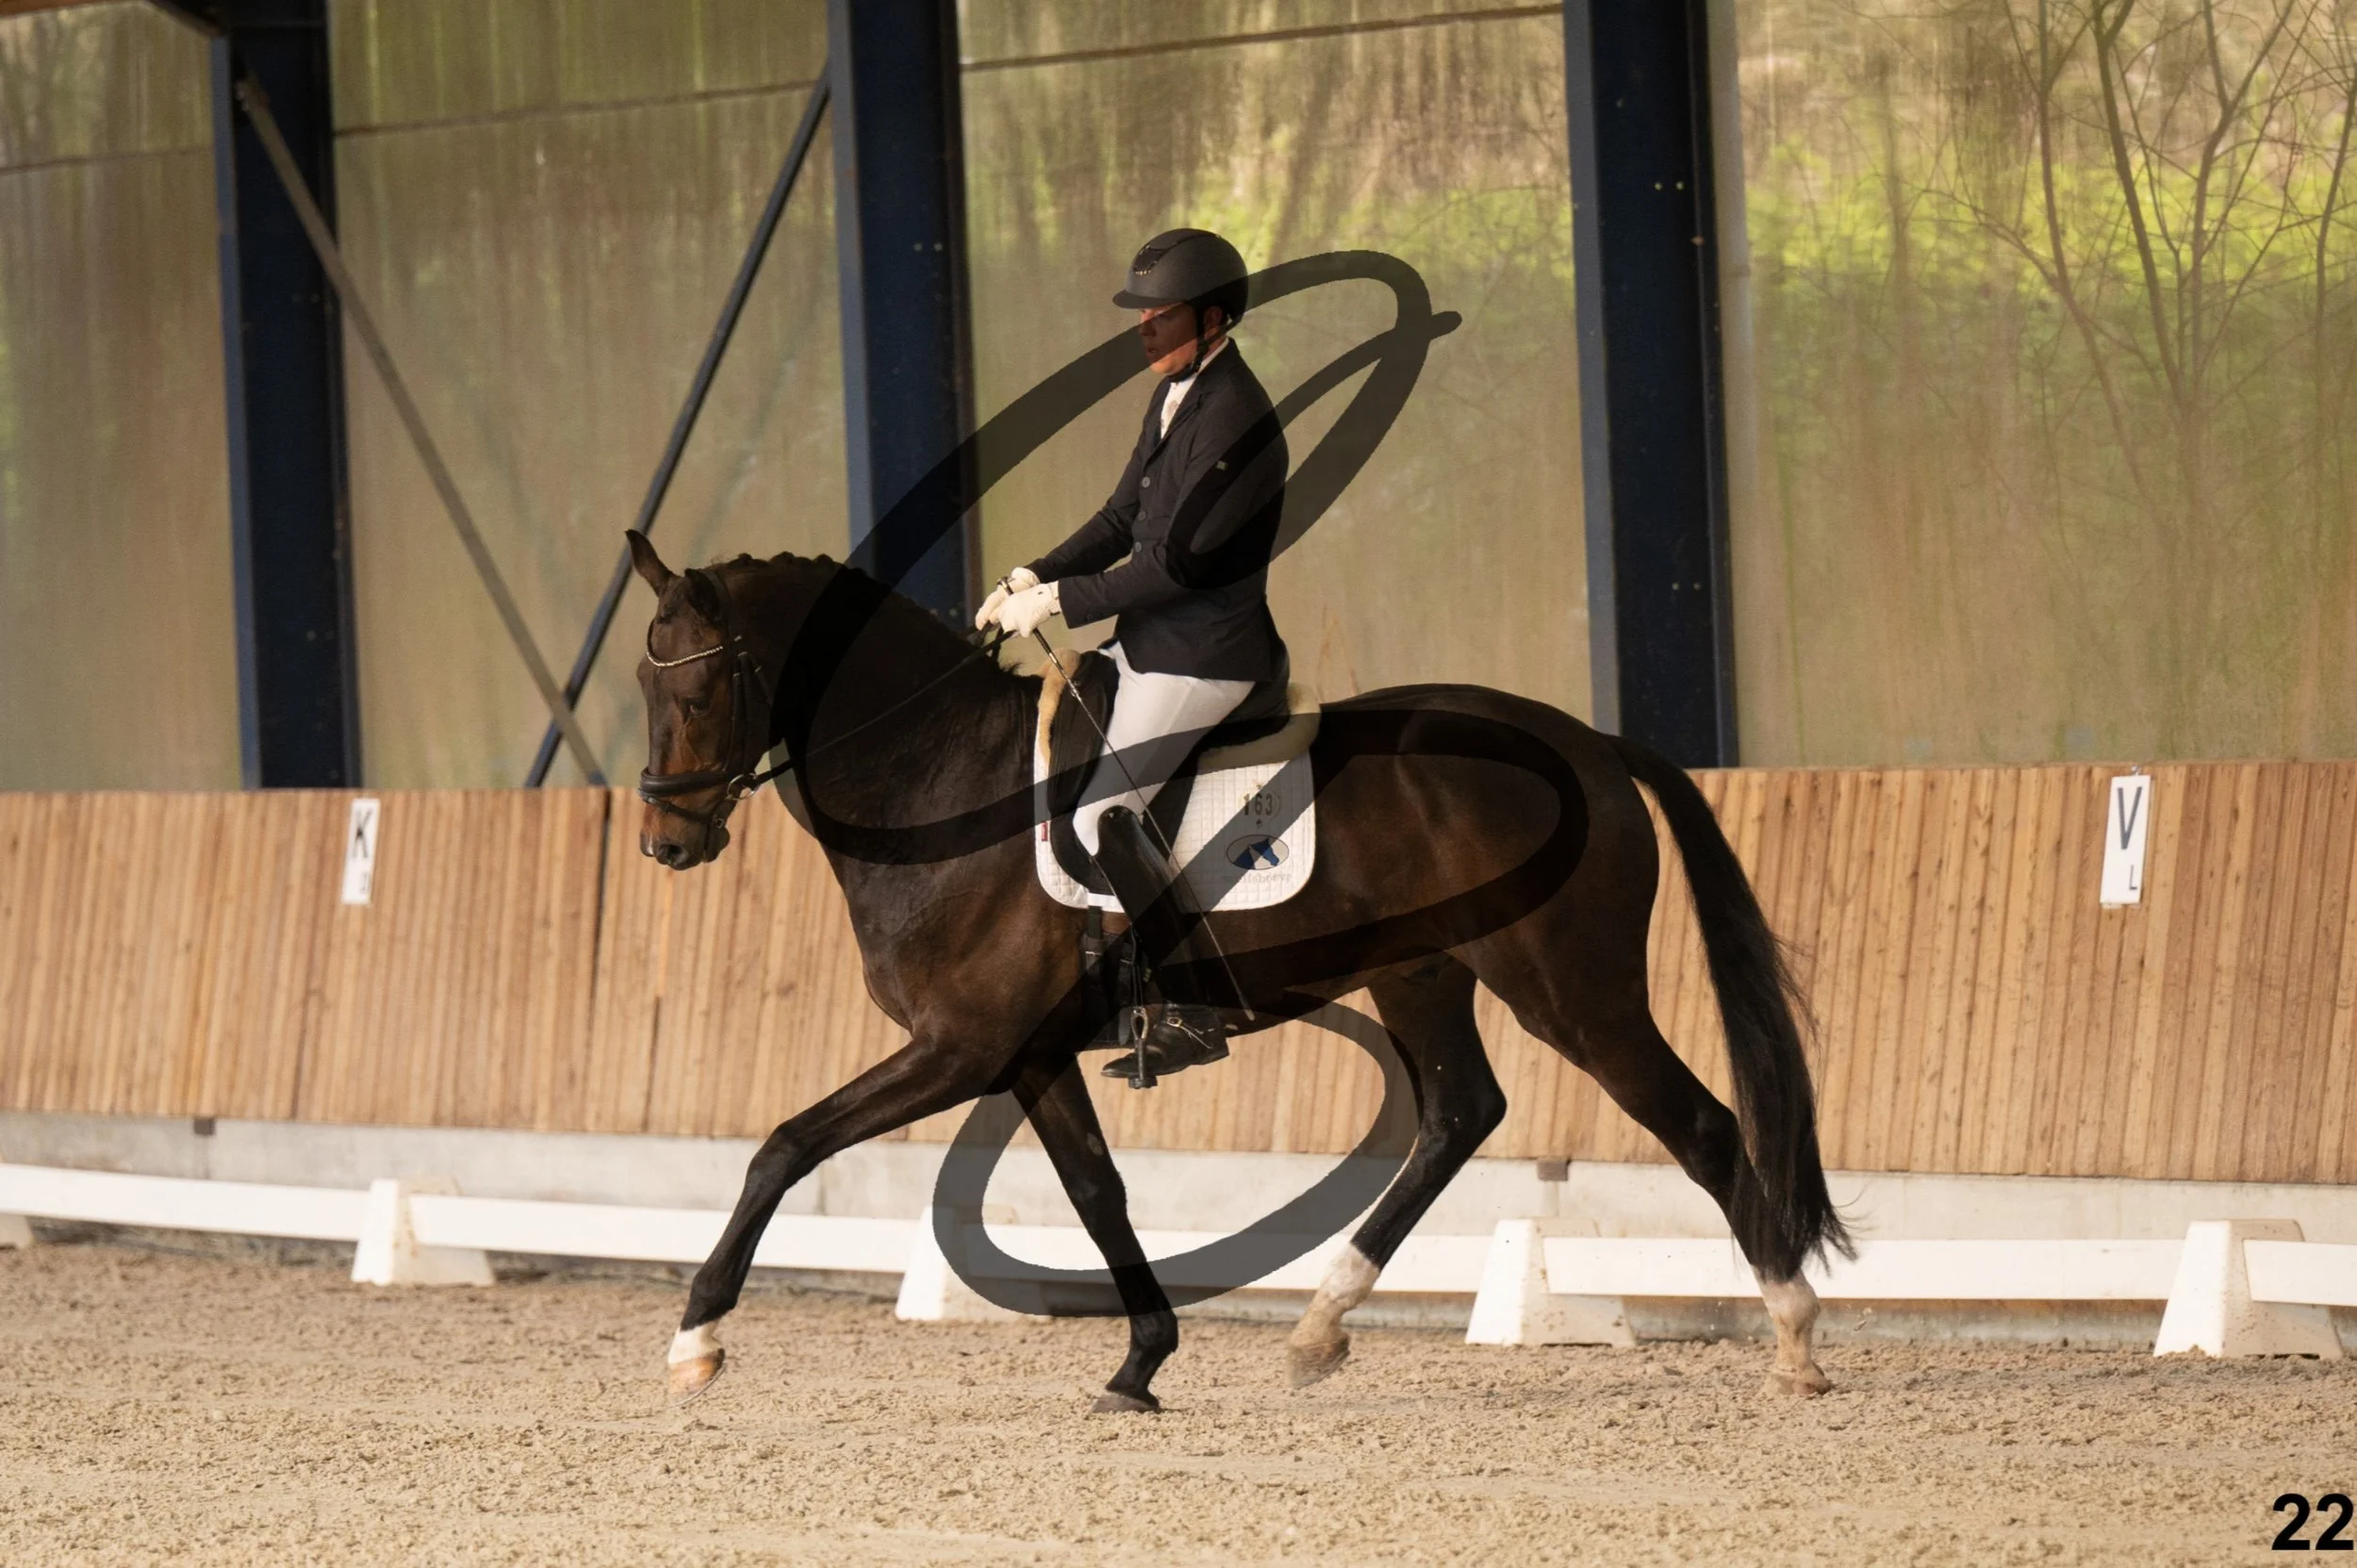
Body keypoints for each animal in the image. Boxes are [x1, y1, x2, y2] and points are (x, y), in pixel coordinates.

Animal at [624, 531, 1851, 1412]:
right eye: (643, 690)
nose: (666, 844)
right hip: (1420, 974)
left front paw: (696, 1339)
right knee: (1461, 1112)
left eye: (700, 692)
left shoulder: (958, 1046)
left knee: (1698, 1125)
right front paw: (1140, 1364)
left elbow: (784, 1146)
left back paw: (1795, 1341)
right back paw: (1318, 1327)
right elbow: (1097, 1193)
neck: (940, 782)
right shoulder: (1027, 1054)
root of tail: (1591, 744)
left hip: (1572, 989)